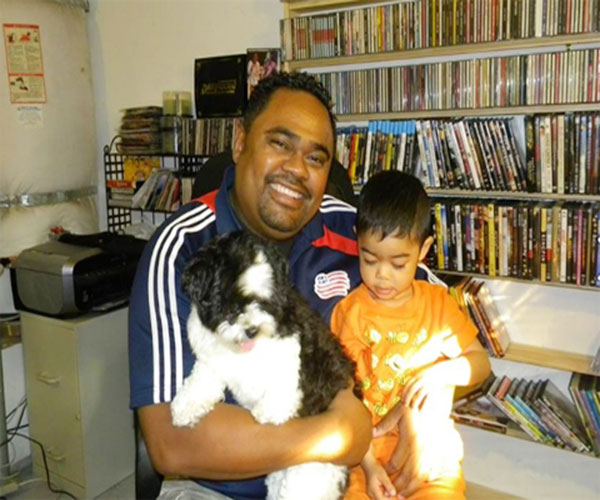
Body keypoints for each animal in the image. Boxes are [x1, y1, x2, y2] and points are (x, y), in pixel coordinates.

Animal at [170, 230, 358, 500]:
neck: (243, 350)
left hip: (312, 471)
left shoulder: (290, 345)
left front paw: (272, 409)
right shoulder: (211, 359)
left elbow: (283, 378)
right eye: (227, 303)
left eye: (265, 301)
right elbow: (201, 381)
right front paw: (186, 405)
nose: (252, 329)